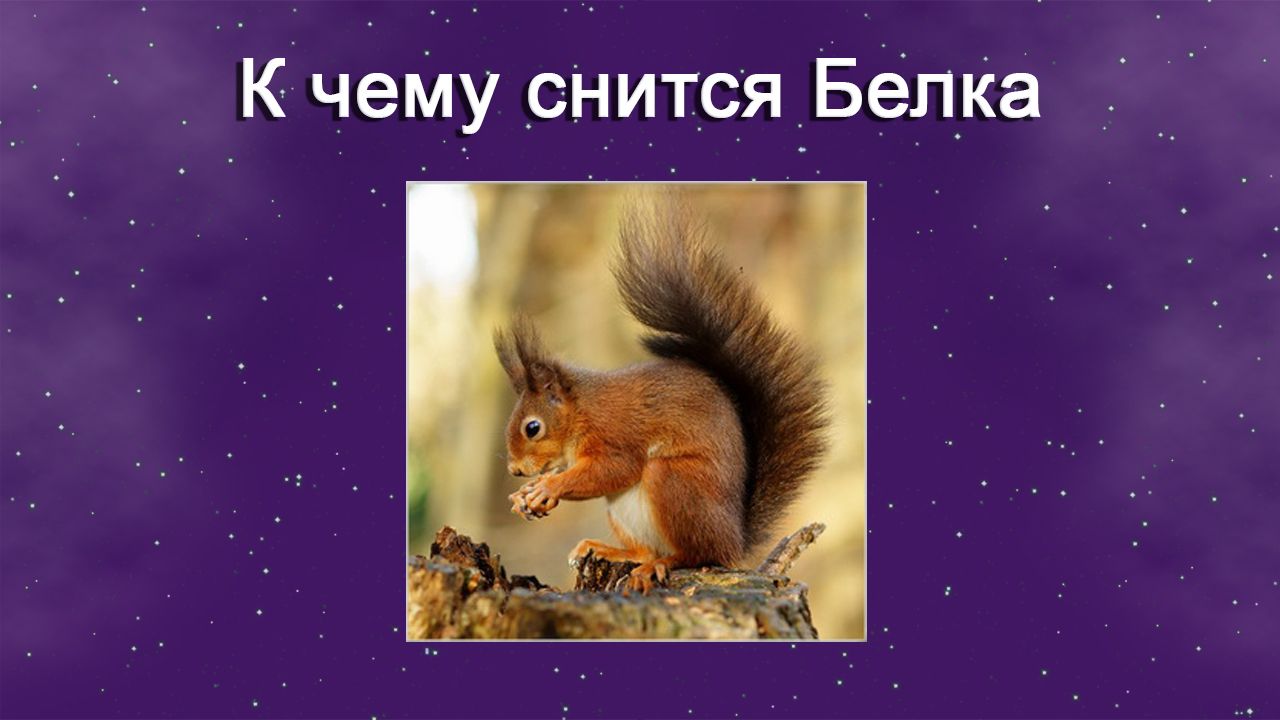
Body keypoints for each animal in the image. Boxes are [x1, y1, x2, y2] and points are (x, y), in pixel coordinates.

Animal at [495, 206, 829, 593]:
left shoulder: (616, 433)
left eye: (532, 428)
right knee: (645, 550)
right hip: (624, 513)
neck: (582, 411)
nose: (515, 471)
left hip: (673, 483)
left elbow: (615, 470)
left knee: (695, 553)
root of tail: (735, 541)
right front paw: (524, 495)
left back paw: (660, 564)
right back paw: (613, 551)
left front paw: (548, 486)